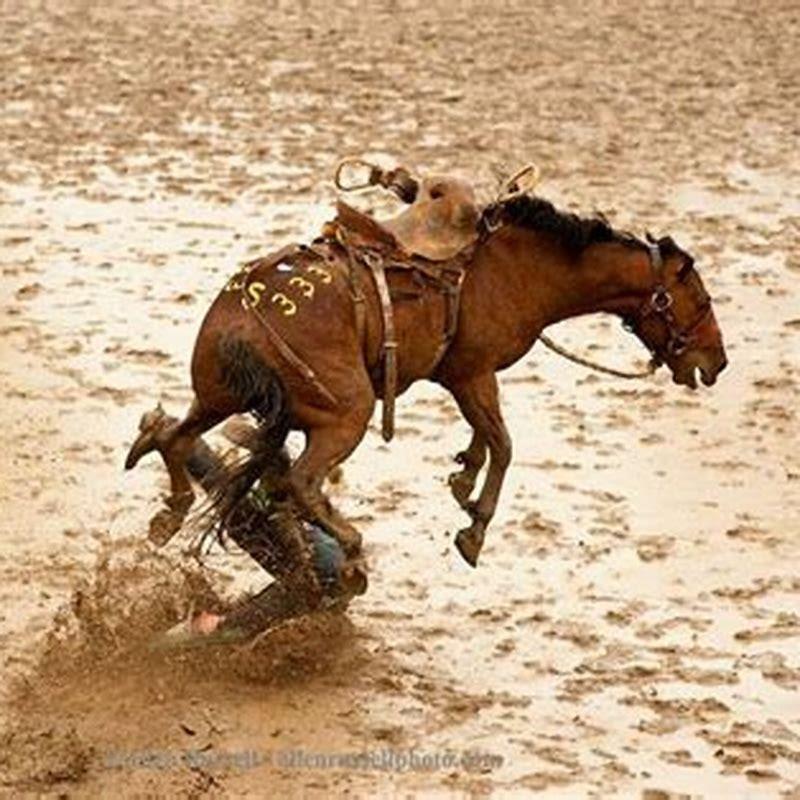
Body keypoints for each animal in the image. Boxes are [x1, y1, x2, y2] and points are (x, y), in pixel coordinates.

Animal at [125, 192, 727, 568]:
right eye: (699, 297)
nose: (716, 363)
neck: (520, 270)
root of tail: (244, 317)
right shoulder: (472, 373)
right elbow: (504, 444)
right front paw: (474, 527)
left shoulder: (467, 379)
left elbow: (487, 438)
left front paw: (462, 475)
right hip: (347, 412)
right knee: (300, 480)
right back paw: (351, 543)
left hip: (216, 396)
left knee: (177, 438)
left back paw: (169, 514)